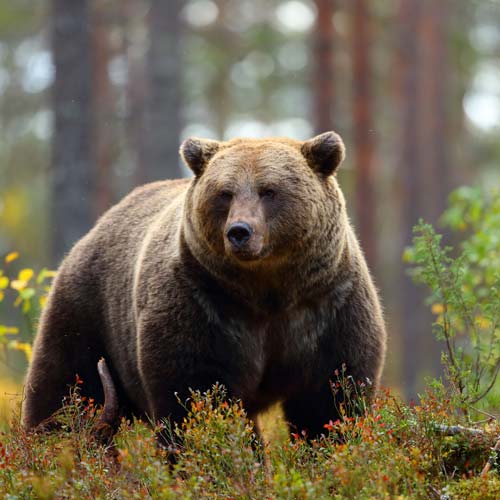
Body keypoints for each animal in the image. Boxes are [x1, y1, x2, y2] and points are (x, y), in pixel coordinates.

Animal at [21, 132, 386, 438]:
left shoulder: (327, 306)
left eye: (269, 191)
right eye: (225, 193)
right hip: (89, 311)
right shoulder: (202, 304)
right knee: (65, 388)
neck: (268, 291)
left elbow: (330, 400)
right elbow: (195, 395)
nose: (239, 231)